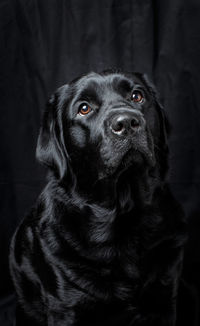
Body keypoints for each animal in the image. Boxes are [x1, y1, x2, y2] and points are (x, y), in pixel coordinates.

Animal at [9, 70, 188, 324]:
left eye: (137, 95)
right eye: (84, 108)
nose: (127, 122)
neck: (124, 214)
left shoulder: (164, 297)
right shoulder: (65, 308)